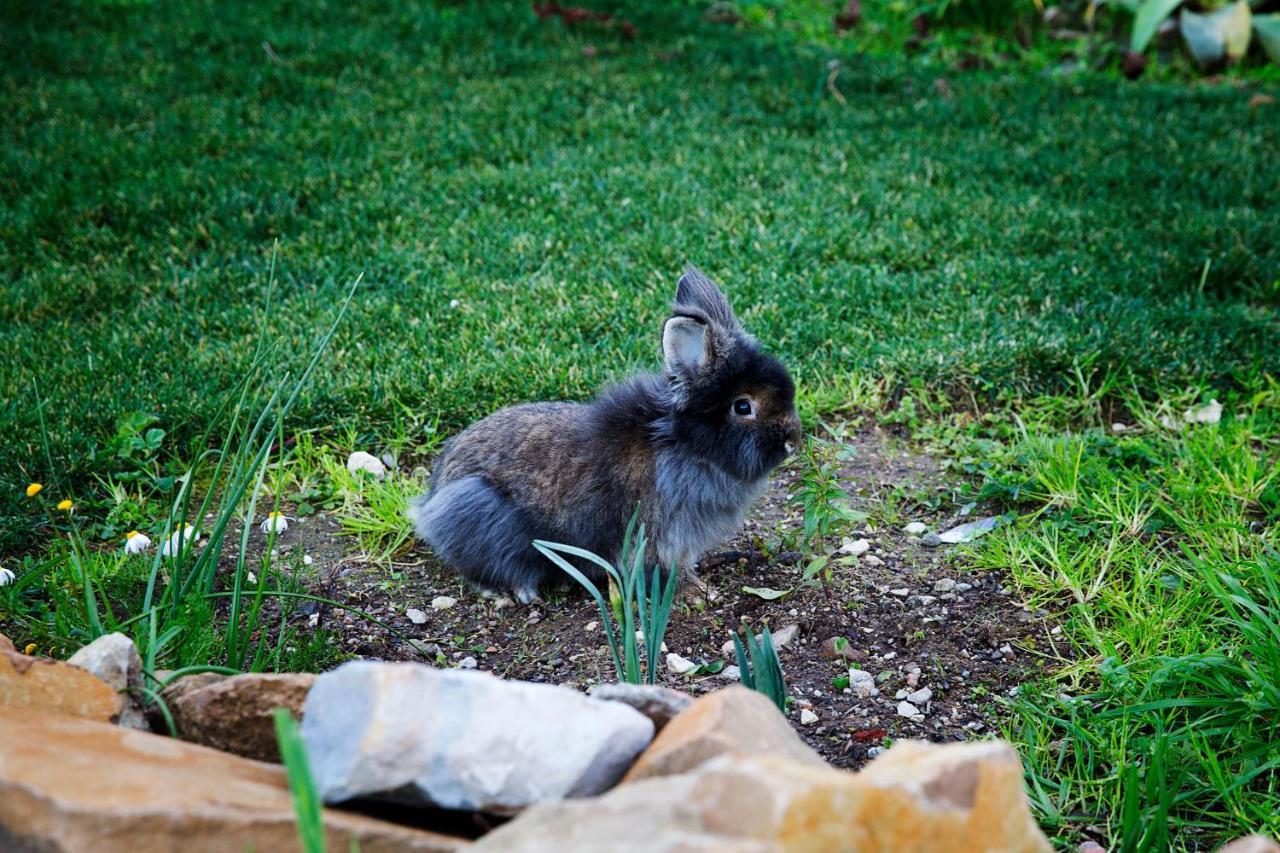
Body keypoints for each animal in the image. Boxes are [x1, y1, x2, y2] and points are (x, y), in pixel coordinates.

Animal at [407, 262, 798, 601]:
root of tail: (432, 499)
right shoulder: (658, 535)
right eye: (743, 407)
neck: (682, 444)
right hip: (481, 512)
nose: (792, 440)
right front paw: (696, 591)